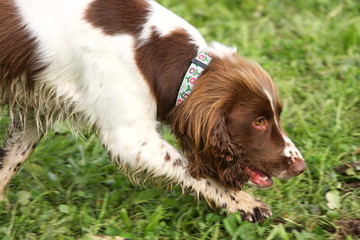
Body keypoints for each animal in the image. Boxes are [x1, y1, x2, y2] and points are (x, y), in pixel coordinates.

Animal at [0, 0, 306, 222]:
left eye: (276, 115)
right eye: (258, 121)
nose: (301, 167)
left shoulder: (33, 109)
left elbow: (9, 161)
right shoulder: (130, 137)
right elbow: (192, 170)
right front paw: (245, 203)